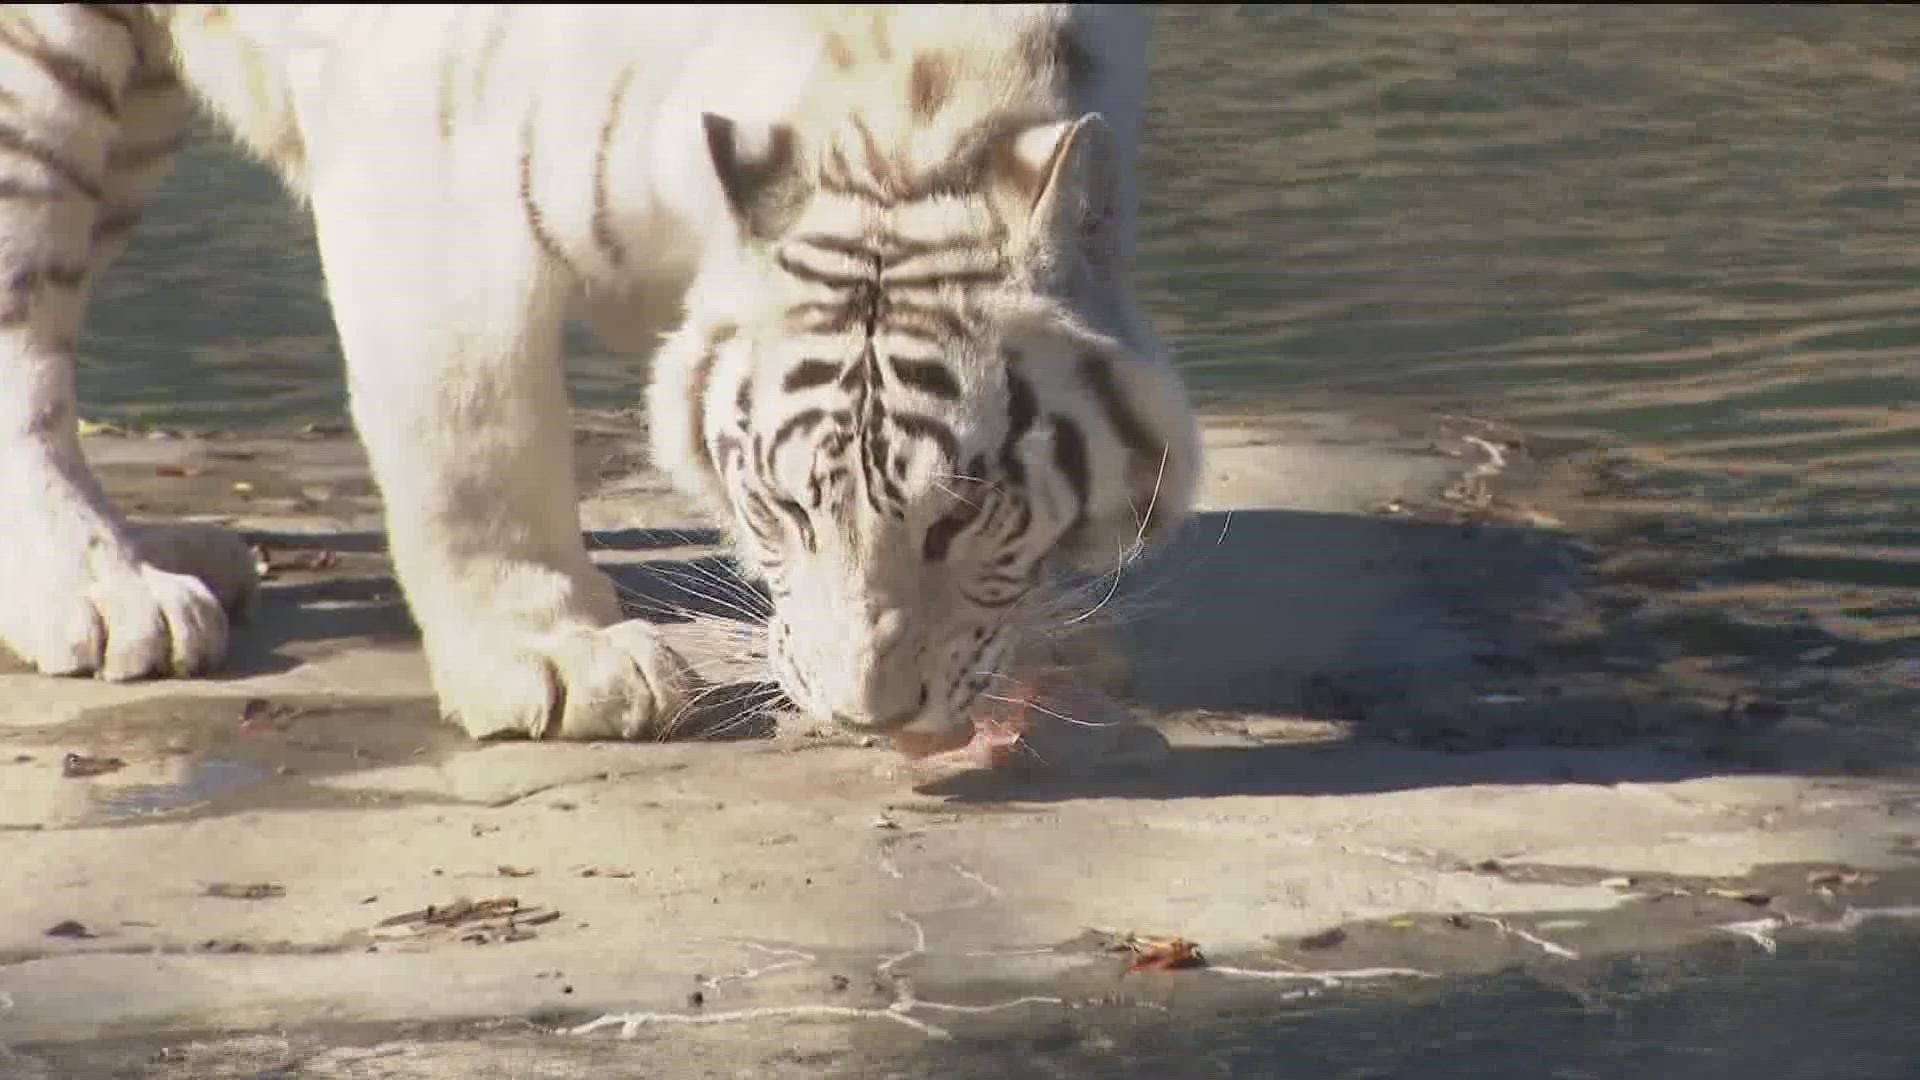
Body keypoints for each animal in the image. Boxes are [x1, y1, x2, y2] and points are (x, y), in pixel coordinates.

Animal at [0, 6, 1198, 749]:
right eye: (781, 507)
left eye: (961, 514)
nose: (871, 717)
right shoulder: (423, 165)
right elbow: (474, 446)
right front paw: (553, 661)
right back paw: (106, 592)